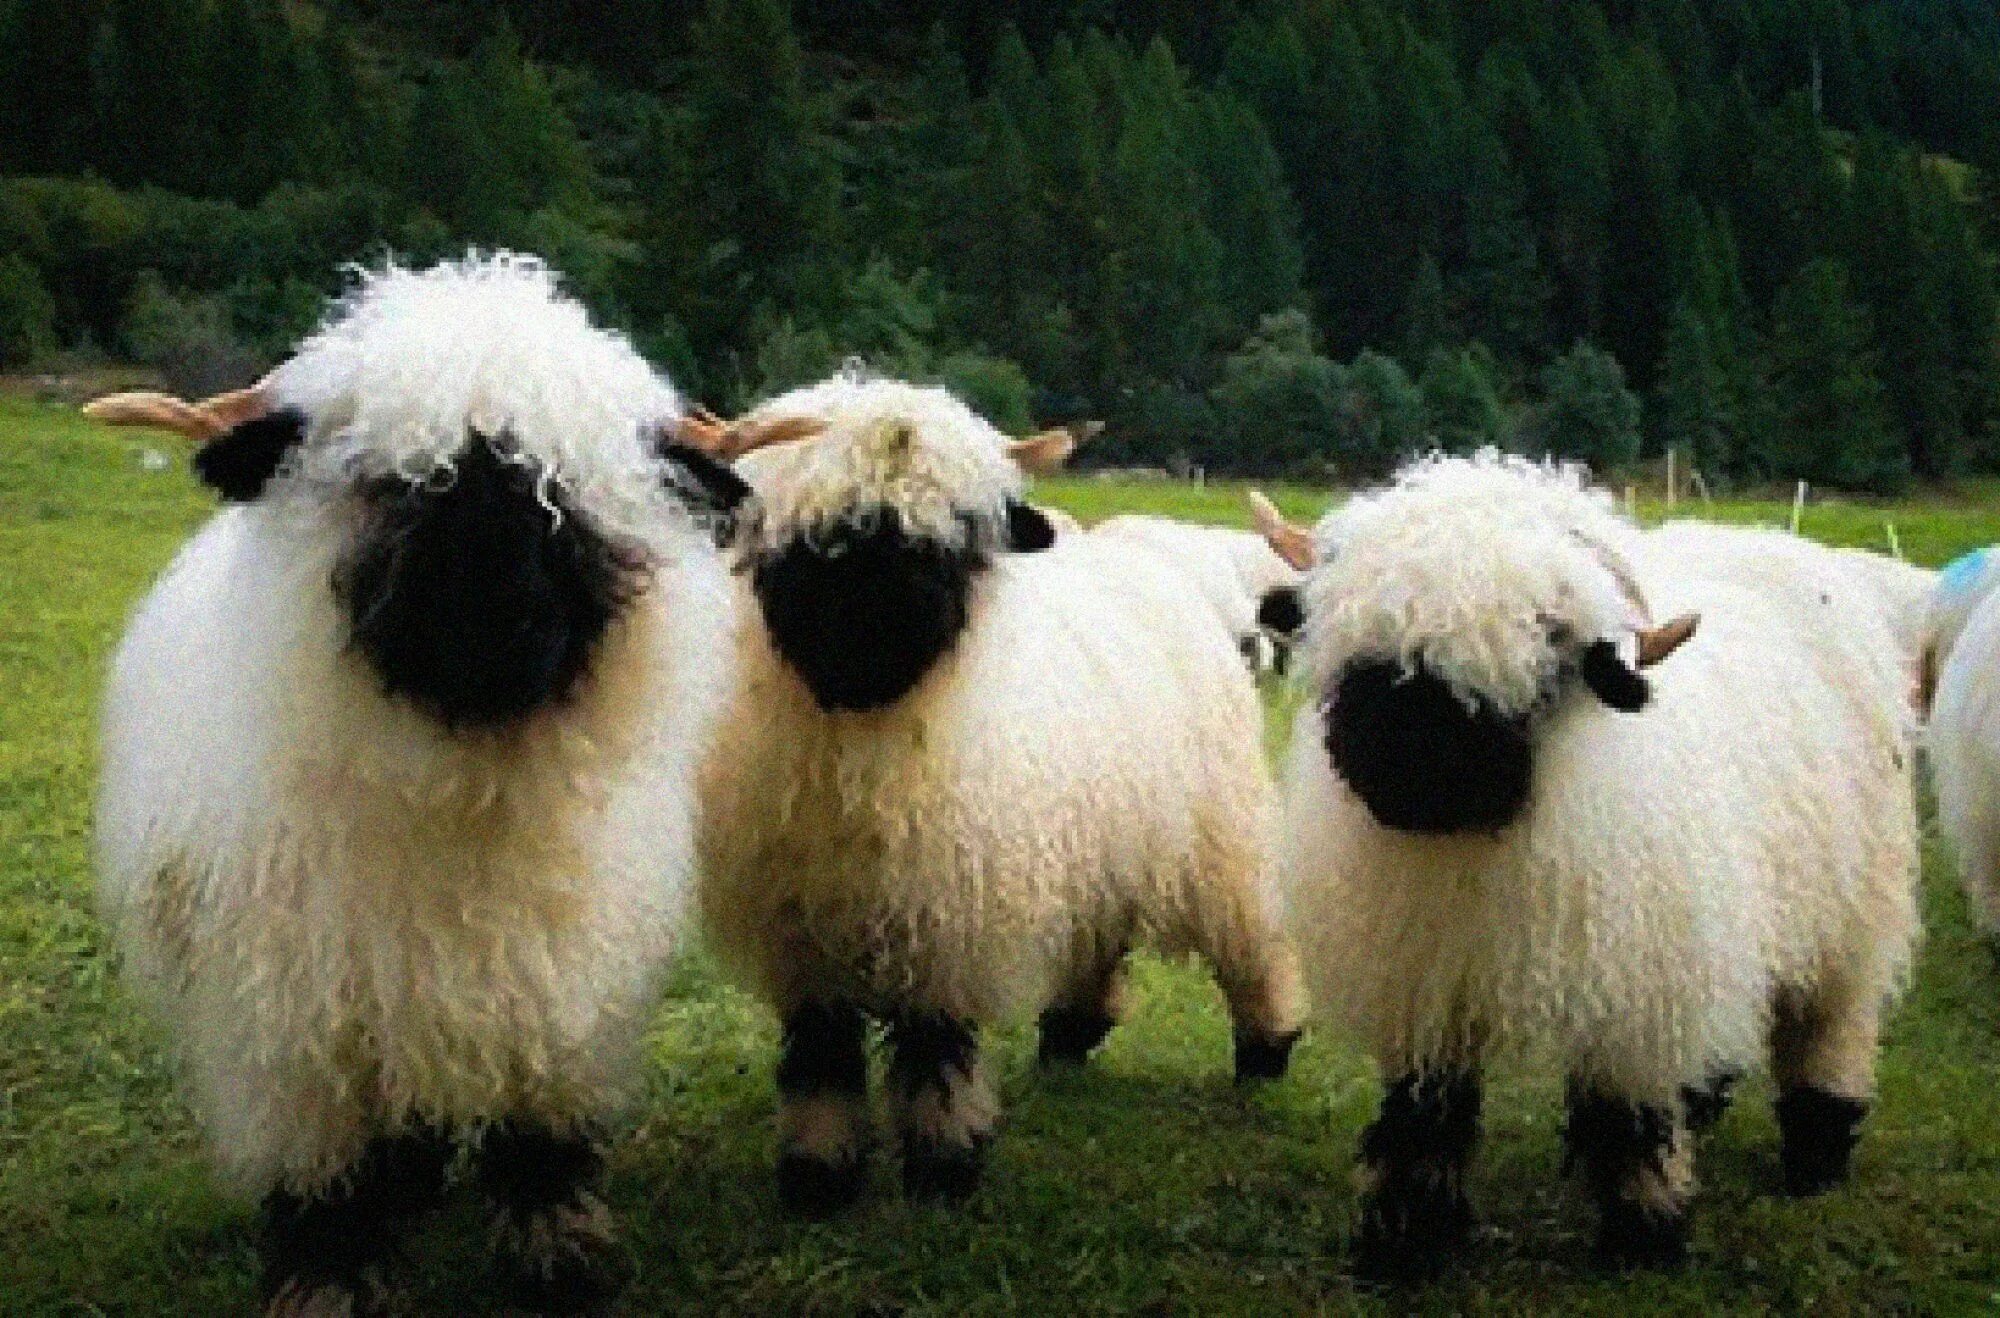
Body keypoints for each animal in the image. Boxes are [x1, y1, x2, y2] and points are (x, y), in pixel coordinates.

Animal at [87, 254, 772, 1315]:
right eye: (391, 482)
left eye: (572, 491)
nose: (497, 626)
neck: (462, 794)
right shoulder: (296, 1032)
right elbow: (324, 1176)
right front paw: (327, 1276)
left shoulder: (556, 993)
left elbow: (541, 1133)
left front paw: (559, 1253)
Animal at [696, 370, 1305, 1215]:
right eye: (824, 537)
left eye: (953, 540)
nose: (877, 635)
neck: (864, 743)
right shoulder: (801, 926)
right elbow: (821, 1055)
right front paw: (819, 1174)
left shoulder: (949, 914)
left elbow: (936, 1048)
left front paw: (944, 1168)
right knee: (1100, 932)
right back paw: (1069, 1035)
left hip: (1218, 828)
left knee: (1252, 938)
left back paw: (1266, 1047)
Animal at [1253, 452, 1918, 1275]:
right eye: (1360, 634)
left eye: (1548, 643)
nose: (1410, 767)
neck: (1478, 844)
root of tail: (1767, 540)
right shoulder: (1430, 979)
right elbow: (1423, 1116)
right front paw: (1405, 1239)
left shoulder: (1639, 978)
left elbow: (1629, 1116)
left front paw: (1646, 1234)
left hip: (1854, 909)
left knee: (1832, 1026)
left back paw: (1818, 1155)